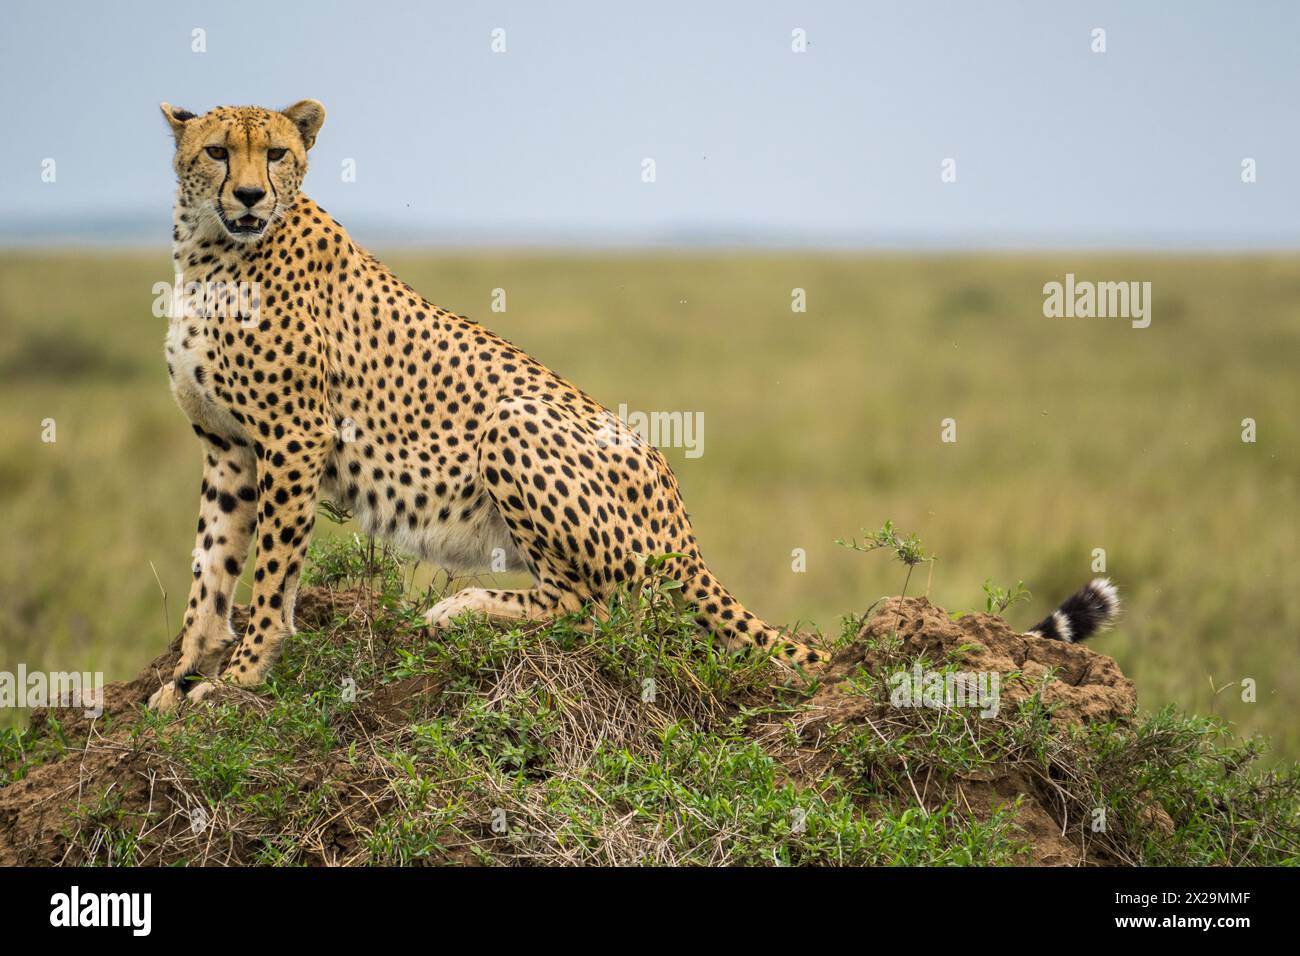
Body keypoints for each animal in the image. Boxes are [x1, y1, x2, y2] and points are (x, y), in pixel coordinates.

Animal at [147, 98, 826, 712]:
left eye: (276, 154)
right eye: (218, 152)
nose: (250, 196)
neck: (209, 250)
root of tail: (683, 525)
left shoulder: (295, 435)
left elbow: (271, 569)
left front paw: (240, 677)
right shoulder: (229, 448)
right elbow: (211, 565)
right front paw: (182, 677)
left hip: (513, 421)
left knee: (596, 607)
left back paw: (463, 607)